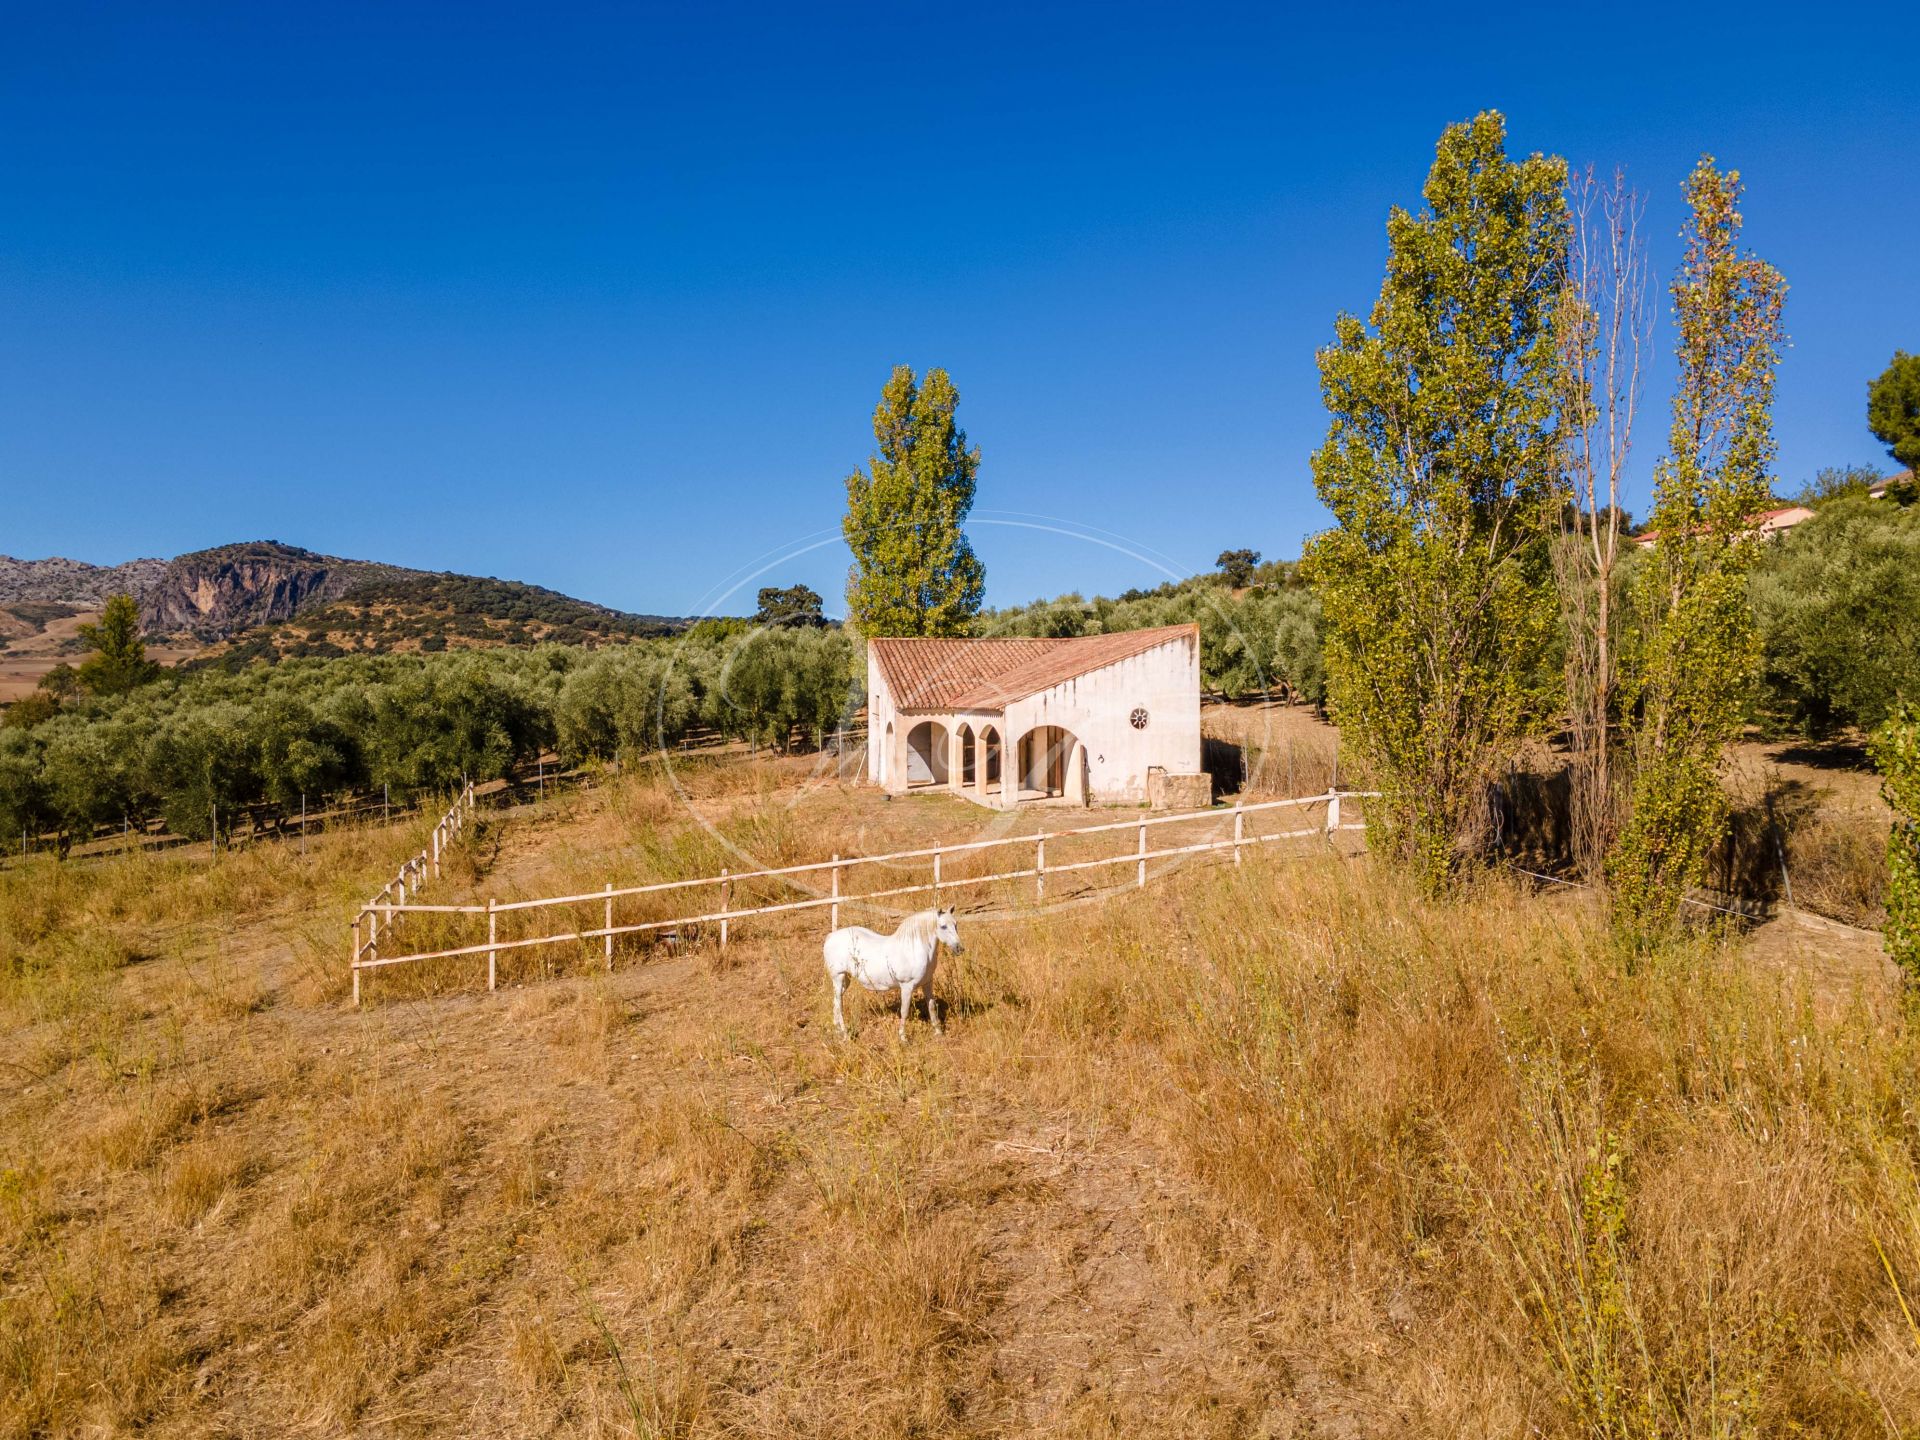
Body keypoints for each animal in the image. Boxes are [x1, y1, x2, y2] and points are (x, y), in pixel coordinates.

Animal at [821, 906, 960, 1044]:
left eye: (955, 924)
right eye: (943, 926)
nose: (959, 948)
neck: (913, 950)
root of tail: (830, 937)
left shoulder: (927, 983)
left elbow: (931, 1006)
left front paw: (939, 1033)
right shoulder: (906, 986)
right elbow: (904, 1011)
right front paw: (903, 1038)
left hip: (845, 979)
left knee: (836, 1002)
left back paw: (837, 1031)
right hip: (838, 977)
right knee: (839, 1005)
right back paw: (845, 1035)